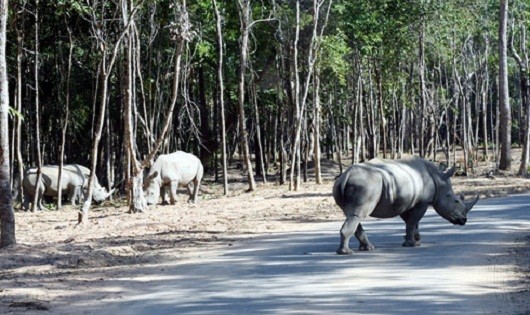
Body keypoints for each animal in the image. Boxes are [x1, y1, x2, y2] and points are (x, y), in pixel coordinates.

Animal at [332, 157, 476, 256]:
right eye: (456, 201)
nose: (464, 221)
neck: (438, 179)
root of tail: (346, 175)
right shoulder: (422, 202)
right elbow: (412, 221)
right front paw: (412, 244)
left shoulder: (403, 201)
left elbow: (410, 221)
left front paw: (416, 240)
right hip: (366, 184)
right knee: (358, 215)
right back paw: (347, 252)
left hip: (344, 185)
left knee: (352, 214)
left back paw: (367, 248)